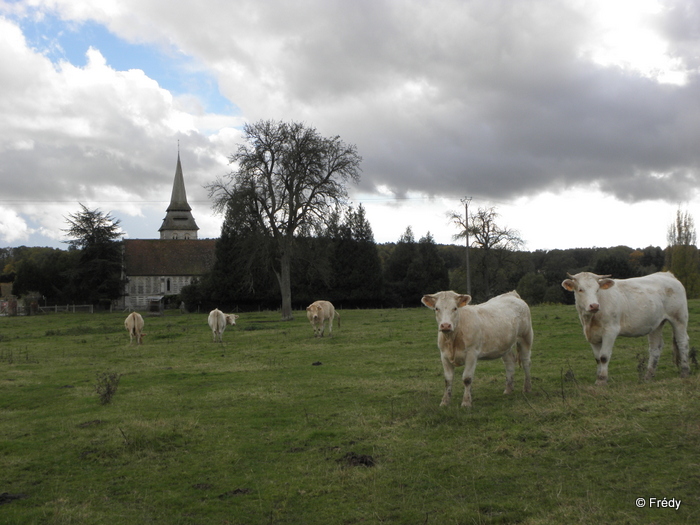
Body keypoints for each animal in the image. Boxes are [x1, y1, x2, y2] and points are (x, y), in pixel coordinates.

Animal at [560, 272, 692, 382]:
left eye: (597, 289)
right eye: (580, 289)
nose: (594, 305)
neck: (590, 320)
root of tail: (667, 274)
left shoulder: (610, 331)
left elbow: (604, 357)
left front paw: (602, 380)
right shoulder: (591, 335)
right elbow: (597, 358)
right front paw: (598, 378)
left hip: (679, 318)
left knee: (682, 342)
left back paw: (685, 372)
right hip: (656, 323)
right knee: (655, 347)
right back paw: (648, 376)